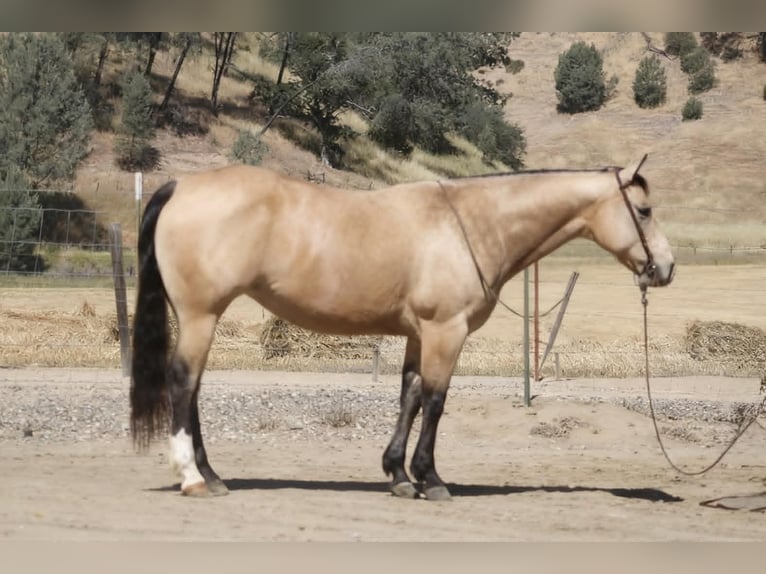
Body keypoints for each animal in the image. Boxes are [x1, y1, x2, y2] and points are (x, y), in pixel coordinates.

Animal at [130, 155, 675, 501]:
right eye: (644, 210)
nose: (665, 268)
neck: (472, 223)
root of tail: (181, 186)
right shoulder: (445, 332)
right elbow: (435, 401)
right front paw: (430, 479)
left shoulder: (419, 335)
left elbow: (409, 397)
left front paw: (397, 474)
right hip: (201, 315)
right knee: (183, 383)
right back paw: (192, 477)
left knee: (194, 390)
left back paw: (213, 474)